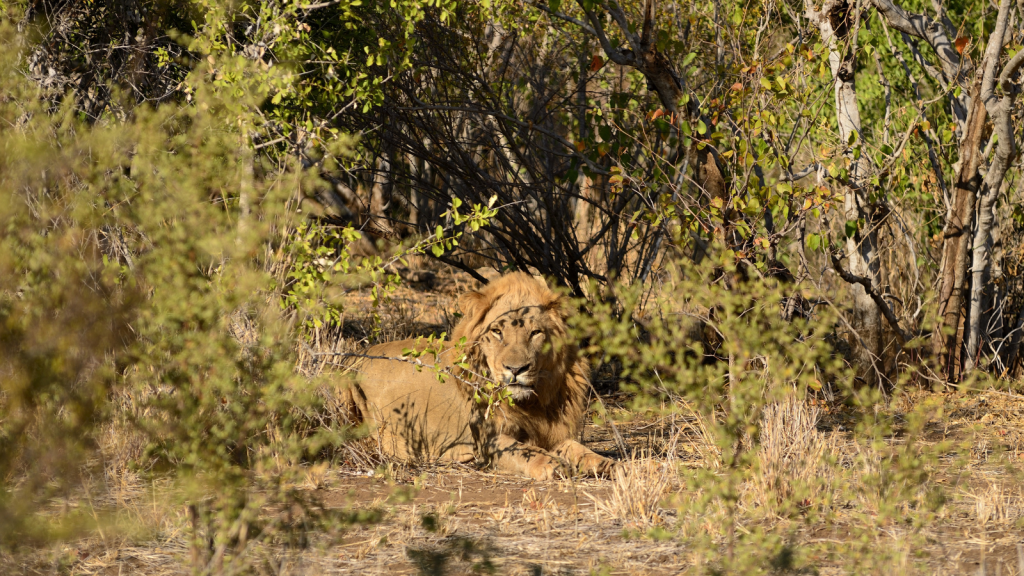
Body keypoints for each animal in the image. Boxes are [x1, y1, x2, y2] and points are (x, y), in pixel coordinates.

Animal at [344, 270, 614, 477]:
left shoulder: (553, 433)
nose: (515, 369)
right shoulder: (486, 440)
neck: (533, 402)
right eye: (497, 331)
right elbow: (524, 451)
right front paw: (553, 463)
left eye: (535, 333)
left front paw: (608, 464)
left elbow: (579, 449)